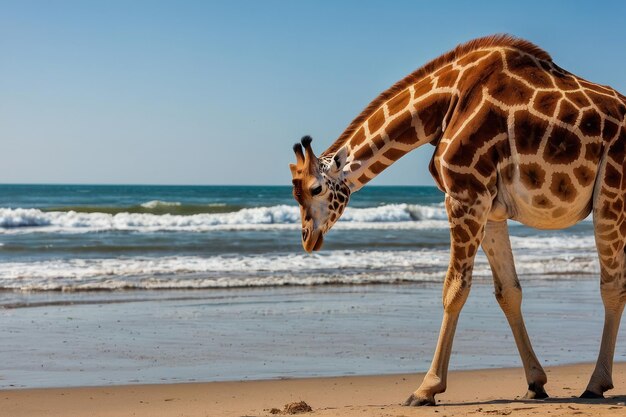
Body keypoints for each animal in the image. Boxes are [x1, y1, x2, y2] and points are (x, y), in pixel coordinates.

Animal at [288, 34, 624, 404]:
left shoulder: (465, 196)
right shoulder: (490, 208)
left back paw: (596, 384)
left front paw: (426, 388)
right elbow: (508, 292)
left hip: (611, 195)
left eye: (316, 188)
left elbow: (454, 289)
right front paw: (535, 383)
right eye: (295, 194)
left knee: (612, 285)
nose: (308, 238)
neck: (443, 105)